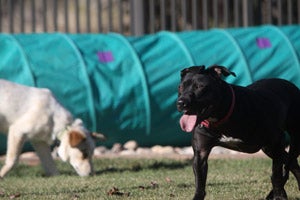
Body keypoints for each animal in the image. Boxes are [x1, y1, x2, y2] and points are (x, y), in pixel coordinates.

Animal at [177, 65, 300, 200]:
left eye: (200, 86)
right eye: (180, 87)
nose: (180, 103)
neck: (220, 117)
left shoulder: (277, 141)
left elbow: (276, 175)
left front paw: (279, 196)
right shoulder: (201, 153)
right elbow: (200, 184)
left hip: (291, 140)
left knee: (289, 164)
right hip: (269, 149)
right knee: (292, 163)